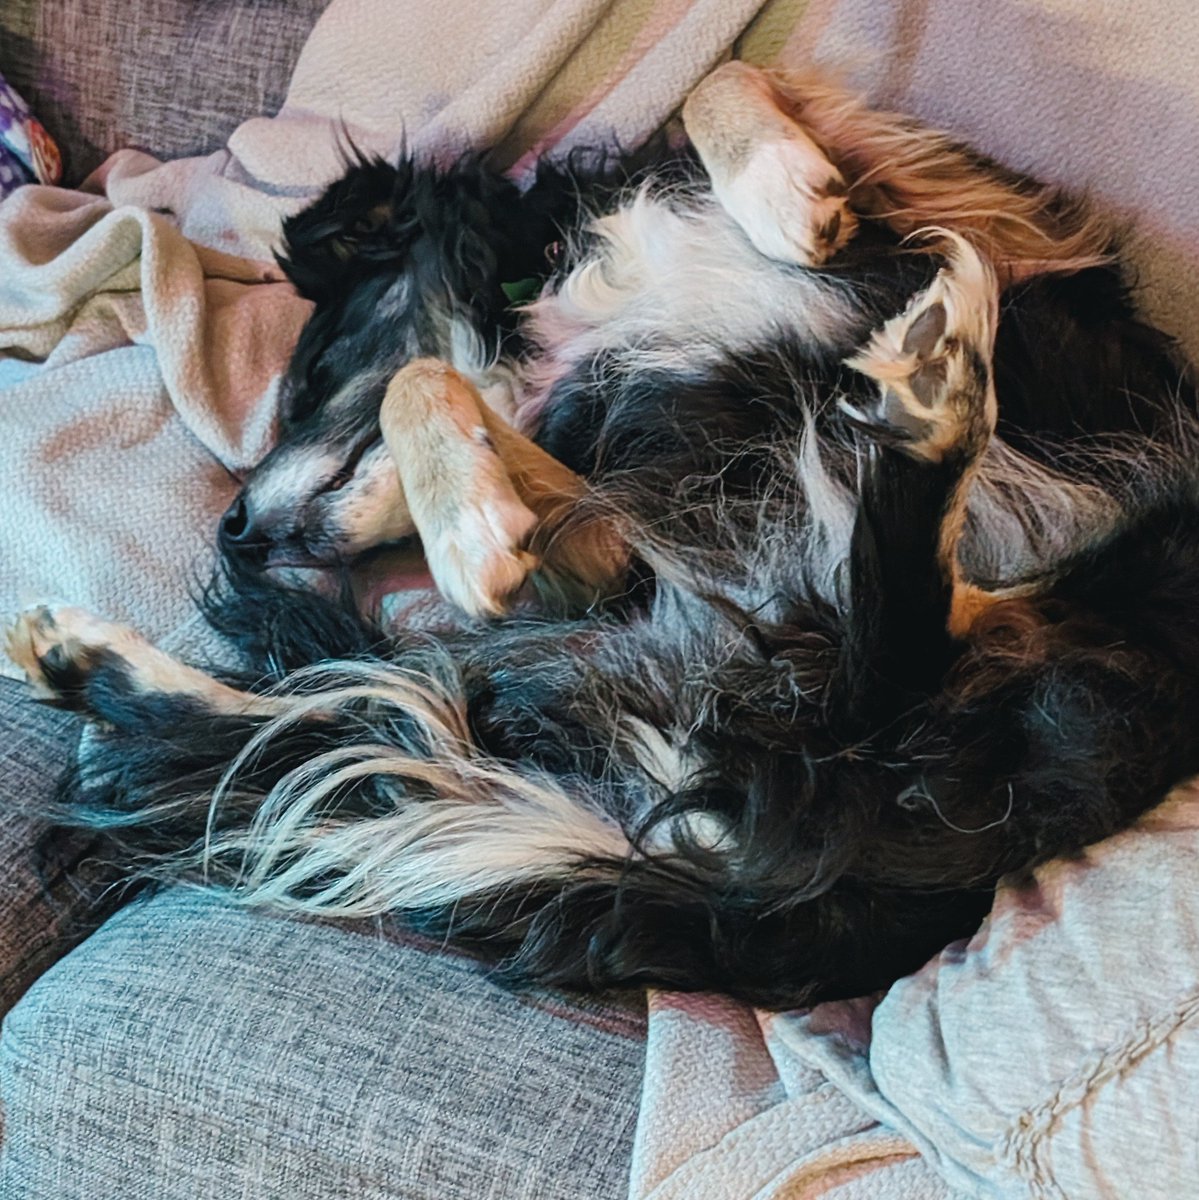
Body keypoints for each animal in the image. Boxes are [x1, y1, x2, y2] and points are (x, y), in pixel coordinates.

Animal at [9, 60, 1199, 1008]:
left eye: (305, 376)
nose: (232, 534)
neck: (548, 311)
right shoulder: (616, 531)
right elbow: (434, 391)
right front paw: (473, 525)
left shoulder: (963, 209)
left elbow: (724, 81)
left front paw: (782, 194)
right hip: (650, 652)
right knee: (344, 715)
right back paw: (82, 659)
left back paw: (930, 385)